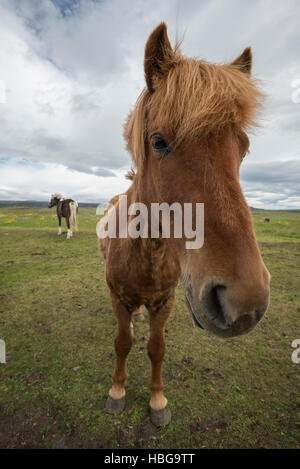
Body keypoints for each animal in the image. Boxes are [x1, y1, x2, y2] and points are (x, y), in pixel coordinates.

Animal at [98, 21, 270, 424]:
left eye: (243, 147)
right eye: (158, 142)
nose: (244, 301)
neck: (146, 250)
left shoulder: (166, 301)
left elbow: (156, 347)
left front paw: (157, 400)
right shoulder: (118, 297)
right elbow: (122, 342)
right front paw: (117, 391)